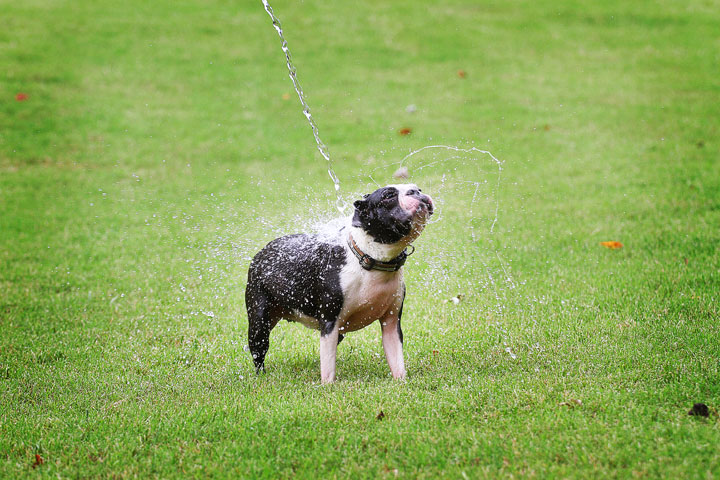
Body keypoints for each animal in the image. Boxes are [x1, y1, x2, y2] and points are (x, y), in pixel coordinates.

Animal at [246, 184, 434, 382]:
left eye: (418, 188)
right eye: (388, 196)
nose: (415, 192)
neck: (371, 259)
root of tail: (262, 252)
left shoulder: (391, 322)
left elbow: (396, 358)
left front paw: (401, 381)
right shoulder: (329, 322)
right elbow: (328, 364)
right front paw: (327, 385)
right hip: (258, 323)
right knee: (259, 352)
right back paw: (261, 377)